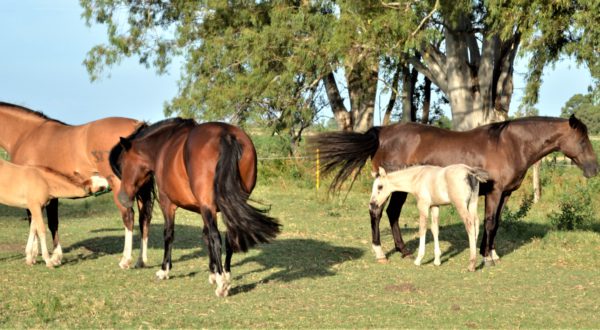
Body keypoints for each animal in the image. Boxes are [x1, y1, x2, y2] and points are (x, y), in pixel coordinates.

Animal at [0, 102, 155, 268]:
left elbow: (37, 223)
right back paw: (140, 260)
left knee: (128, 216)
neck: (26, 134)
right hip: (141, 190)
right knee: (144, 218)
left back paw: (125, 260)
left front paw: (35, 256)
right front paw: (54, 256)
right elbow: (50, 223)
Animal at [108, 118, 282, 296]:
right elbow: (206, 237)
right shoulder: (204, 209)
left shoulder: (168, 204)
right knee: (229, 236)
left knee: (217, 238)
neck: (164, 146)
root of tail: (226, 135)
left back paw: (222, 285)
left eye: (123, 163)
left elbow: (169, 234)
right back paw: (225, 275)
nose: (122, 198)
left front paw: (164, 270)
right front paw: (213, 273)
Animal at [312, 116, 596, 266]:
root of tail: (382, 132)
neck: (509, 144)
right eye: (583, 140)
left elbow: (497, 223)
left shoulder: (505, 194)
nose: (594, 169)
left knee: (391, 214)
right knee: (378, 212)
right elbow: (490, 222)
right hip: (391, 185)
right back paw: (381, 253)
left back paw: (404, 251)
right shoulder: (494, 193)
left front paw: (490, 253)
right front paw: (486, 258)